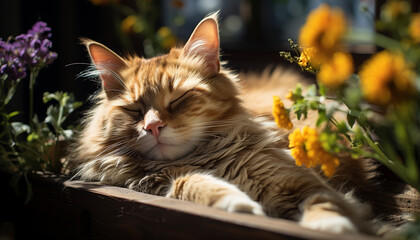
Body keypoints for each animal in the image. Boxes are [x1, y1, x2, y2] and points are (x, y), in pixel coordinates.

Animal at [72, 12, 380, 234]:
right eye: (134, 110)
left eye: (178, 99)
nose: (153, 127)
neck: (207, 159)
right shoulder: (158, 183)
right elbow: (192, 183)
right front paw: (239, 204)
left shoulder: (298, 181)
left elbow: (324, 204)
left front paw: (332, 227)